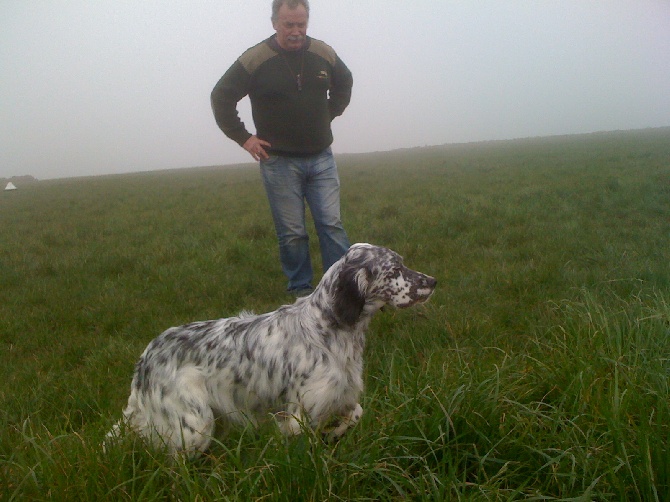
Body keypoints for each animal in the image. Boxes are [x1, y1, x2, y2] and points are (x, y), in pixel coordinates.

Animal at [107, 243, 438, 454]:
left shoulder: (340, 395)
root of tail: (145, 359)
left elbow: (355, 412)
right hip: (194, 425)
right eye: (395, 269)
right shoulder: (298, 415)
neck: (327, 328)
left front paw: (334, 432)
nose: (433, 280)